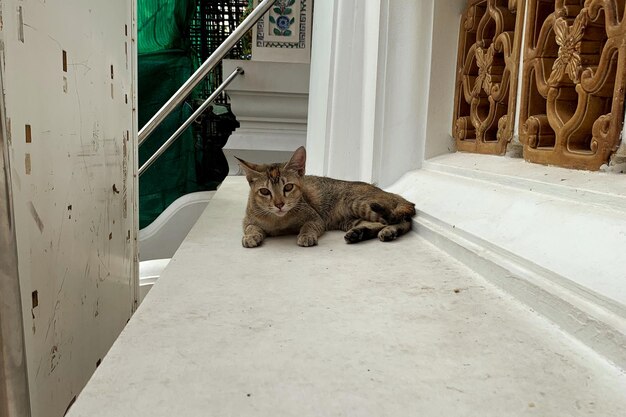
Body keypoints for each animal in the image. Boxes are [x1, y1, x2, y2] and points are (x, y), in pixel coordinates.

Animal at [236, 145, 416, 247]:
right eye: (265, 191)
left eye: (288, 187)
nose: (279, 204)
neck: (279, 222)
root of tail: (390, 192)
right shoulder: (247, 220)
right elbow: (251, 227)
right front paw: (251, 236)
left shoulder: (316, 219)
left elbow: (308, 226)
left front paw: (306, 236)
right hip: (350, 219)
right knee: (379, 223)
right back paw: (360, 234)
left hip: (360, 203)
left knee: (403, 221)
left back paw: (388, 231)